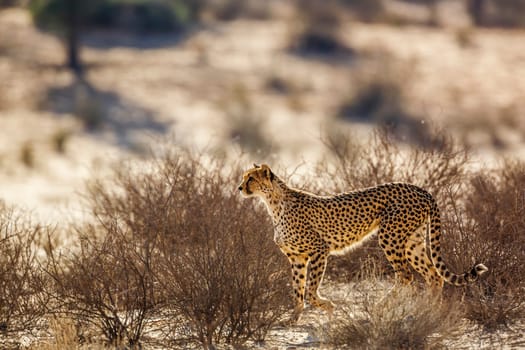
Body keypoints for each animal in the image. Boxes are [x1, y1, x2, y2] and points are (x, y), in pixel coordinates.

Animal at [237, 163, 488, 320]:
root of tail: (421, 189)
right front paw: (293, 319)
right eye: (243, 178)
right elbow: (297, 290)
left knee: (406, 276)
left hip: (390, 236)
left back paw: (383, 306)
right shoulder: (296, 258)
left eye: (251, 178)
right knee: (434, 275)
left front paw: (328, 307)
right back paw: (429, 311)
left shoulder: (319, 250)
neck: (273, 202)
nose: (239, 188)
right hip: (412, 242)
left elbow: (309, 290)